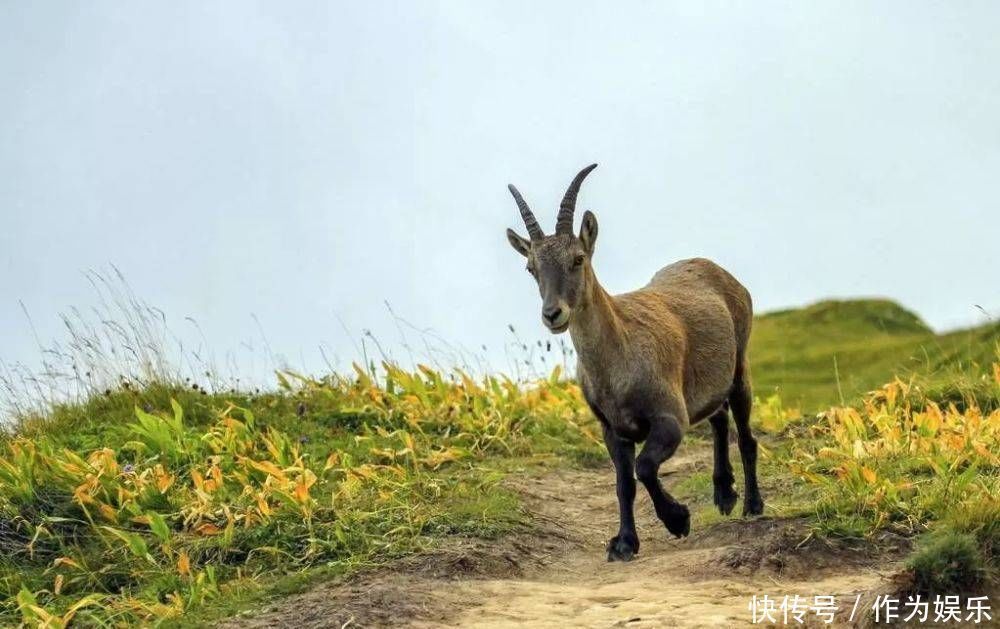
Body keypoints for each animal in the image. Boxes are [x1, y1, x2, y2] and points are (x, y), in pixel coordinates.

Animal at [508, 162, 764, 560]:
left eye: (578, 258)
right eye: (531, 268)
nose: (552, 314)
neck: (618, 361)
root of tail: (717, 269)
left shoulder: (670, 419)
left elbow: (644, 468)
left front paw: (678, 519)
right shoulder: (612, 429)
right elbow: (623, 483)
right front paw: (625, 543)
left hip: (740, 368)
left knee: (746, 435)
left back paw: (752, 504)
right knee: (718, 418)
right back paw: (724, 494)